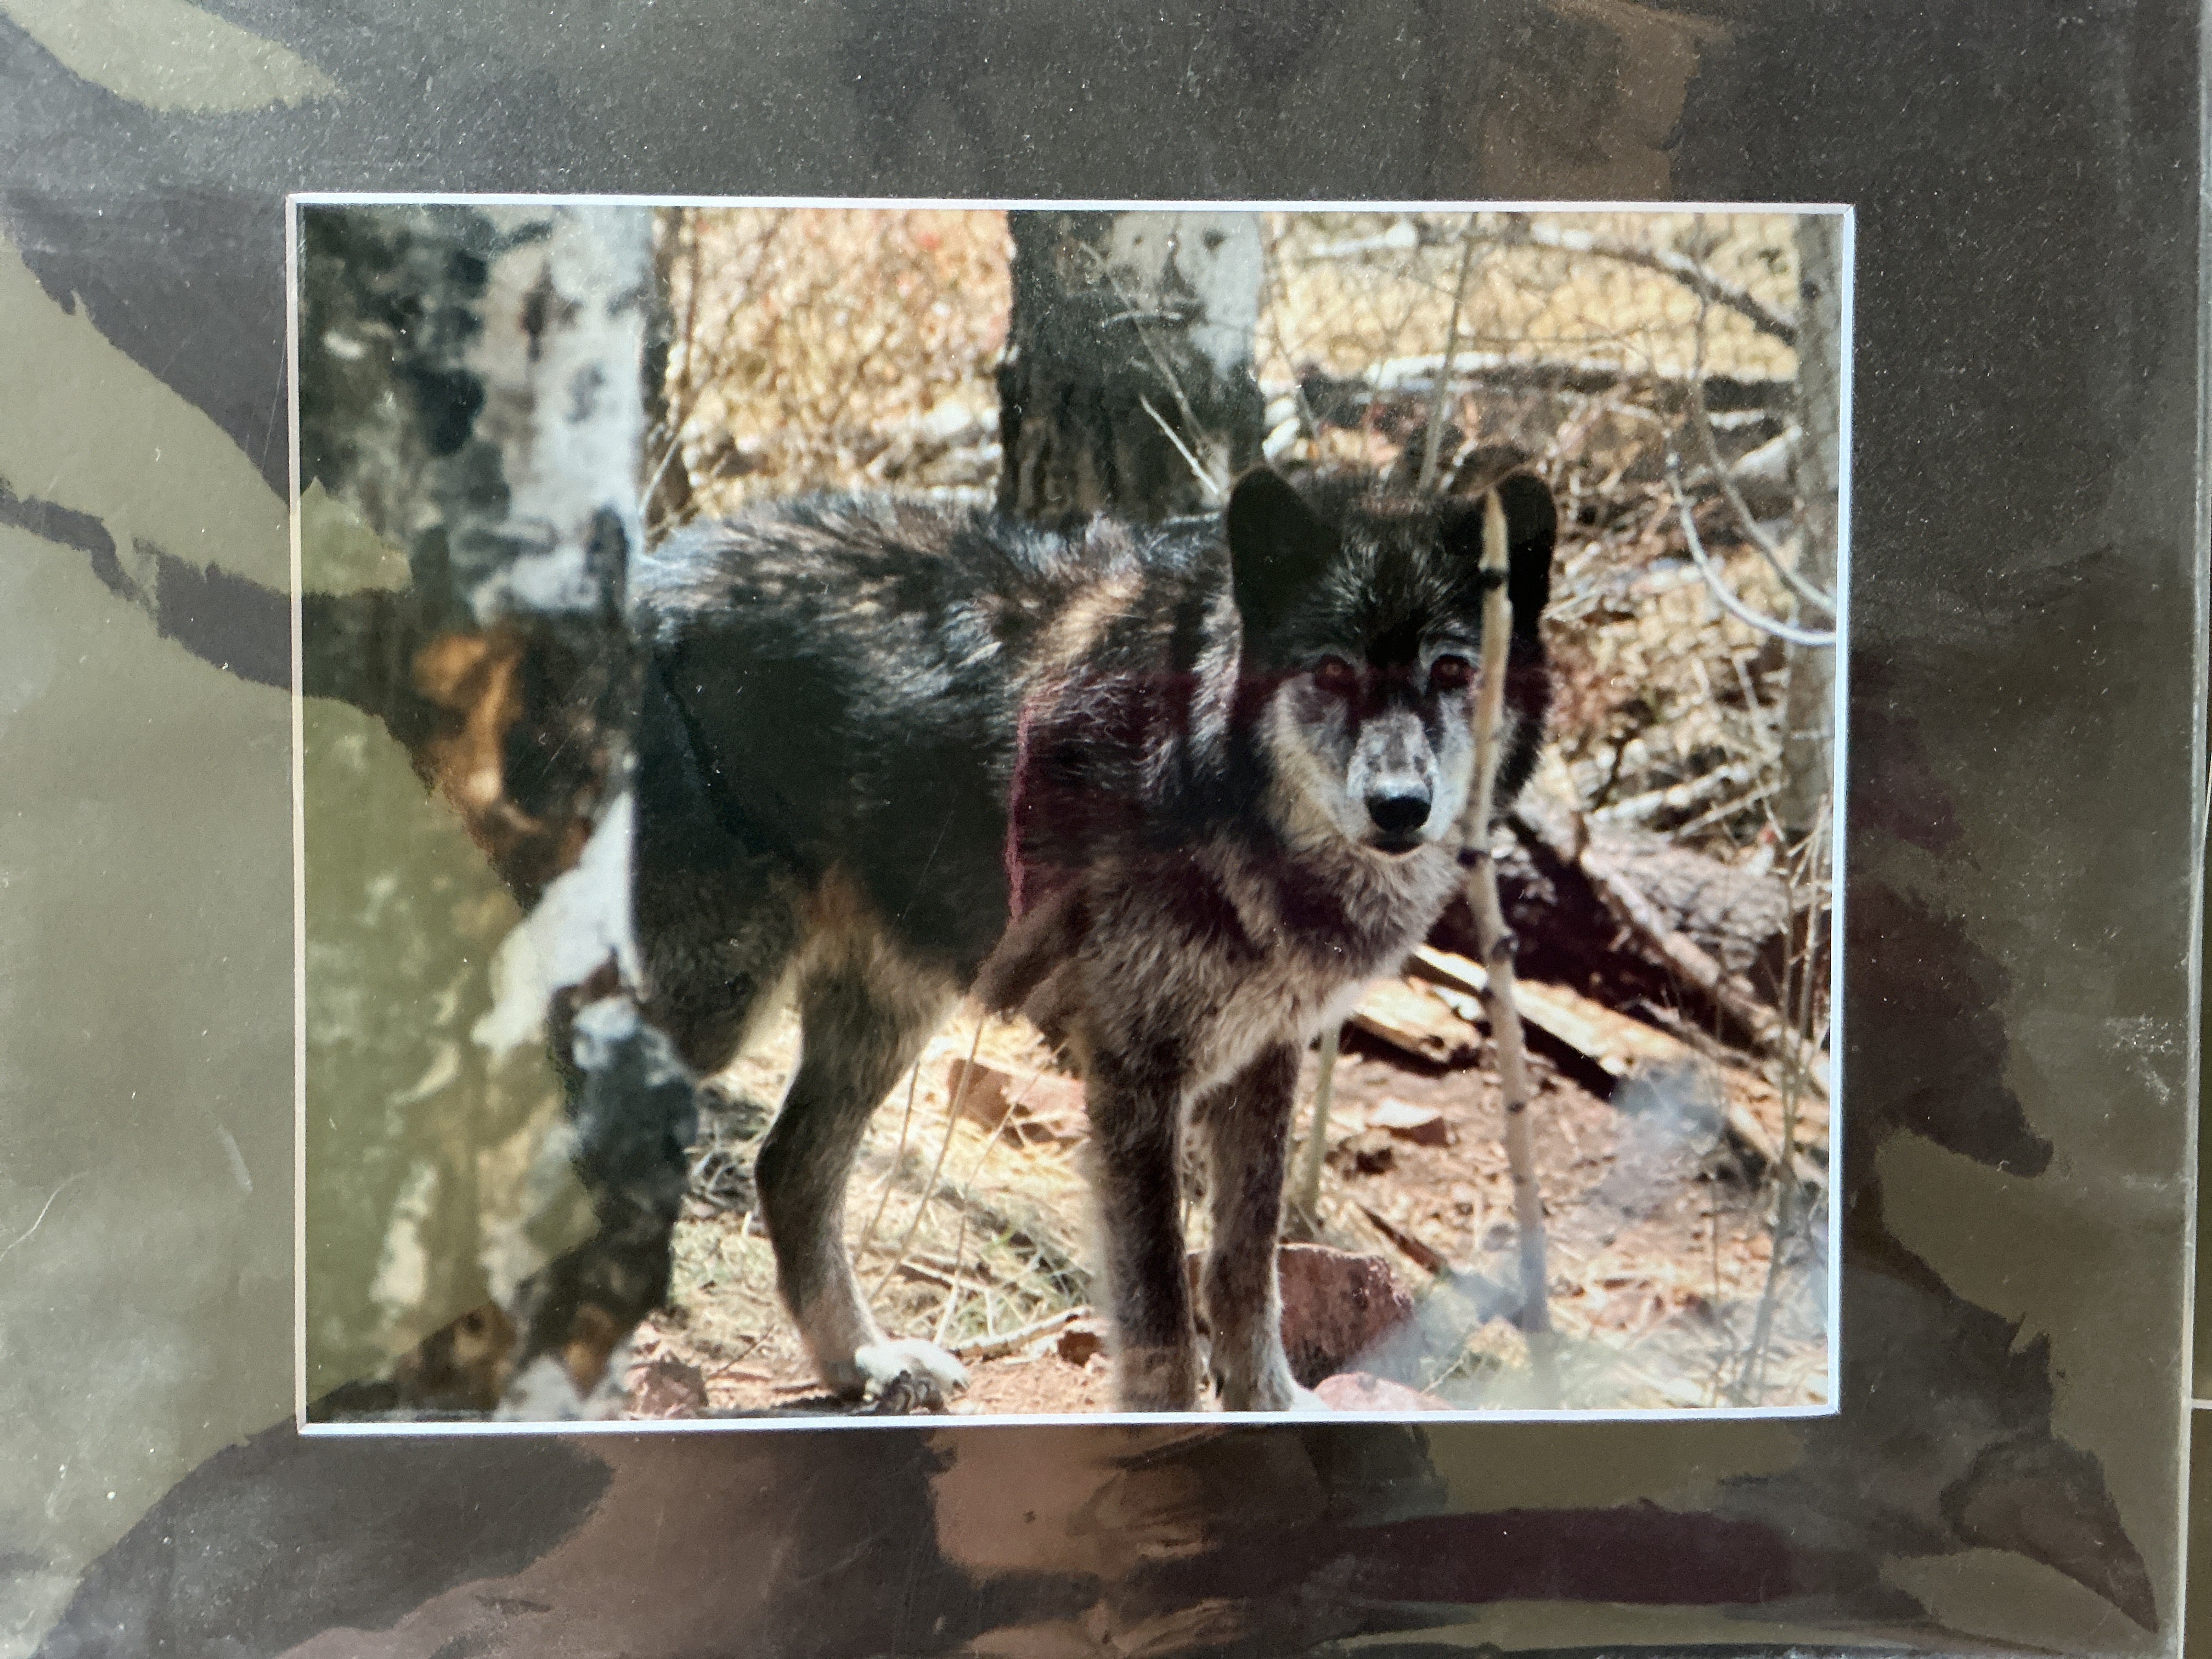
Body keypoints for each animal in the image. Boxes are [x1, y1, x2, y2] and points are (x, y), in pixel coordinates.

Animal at [627, 465, 1556, 1413]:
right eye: (1332, 670)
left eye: (1451, 670)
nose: (1401, 806)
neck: (1207, 772)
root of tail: (648, 581)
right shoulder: (1137, 1072)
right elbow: (1161, 1312)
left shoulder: (1266, 1053)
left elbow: (1248, 1266)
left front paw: (1269, 1407)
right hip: (719, 997)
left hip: (887, 1010)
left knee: (788, 1167)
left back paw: (865, 1364)